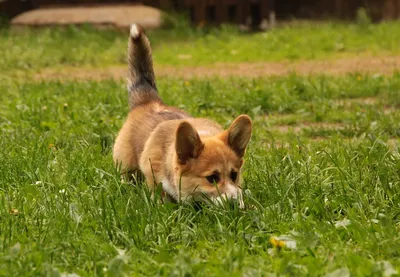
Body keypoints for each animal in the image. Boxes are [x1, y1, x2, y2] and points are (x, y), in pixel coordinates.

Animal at [112, 24, 252, 207]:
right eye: (212, 178)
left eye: (234, 175)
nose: (235, 205)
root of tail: (147, 101)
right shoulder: (152, 175)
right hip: (126, 165)